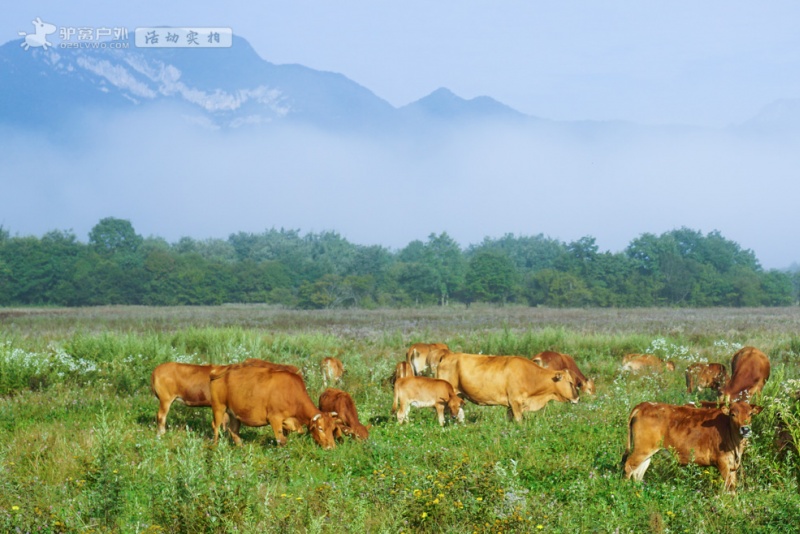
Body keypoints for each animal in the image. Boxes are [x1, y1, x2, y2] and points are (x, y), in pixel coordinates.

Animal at [209, 366, 338, 450]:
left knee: (233, 430)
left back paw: (242, 448)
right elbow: (281, 440)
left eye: (332, 429)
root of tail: (223, 369)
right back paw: (214, 447)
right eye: (320, 428)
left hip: (234, 413)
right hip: (218, 407)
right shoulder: (274, 418)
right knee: (216, 428)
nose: (331, 447)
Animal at [434, 354, 580, 426]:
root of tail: (448, 356)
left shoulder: (510, 405)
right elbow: (519, 421)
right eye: (570, 382)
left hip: (459, 395)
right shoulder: (515, 402)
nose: (577, 398)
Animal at [620, 402, 764, 494]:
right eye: (733, 414)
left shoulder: (733, 465)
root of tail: (644, 405)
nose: (745, 429)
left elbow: (733, 487)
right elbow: (729, 486)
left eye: (750, 414)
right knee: (628, 466)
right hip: (642, 449)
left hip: (647, 452)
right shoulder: (722, 462)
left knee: (638, 472)